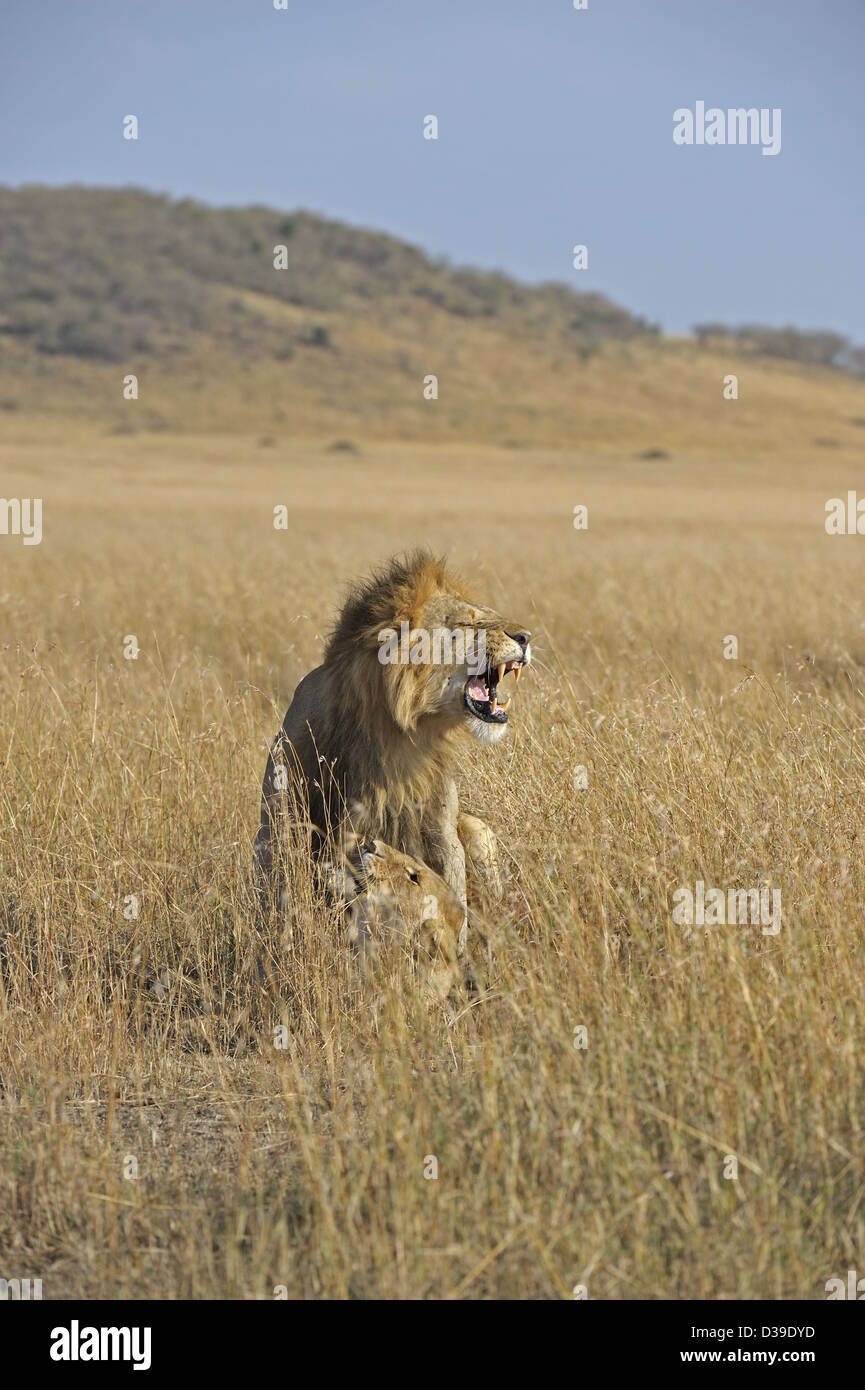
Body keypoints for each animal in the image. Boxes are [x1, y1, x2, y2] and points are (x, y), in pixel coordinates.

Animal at [254, 550, 532, 946]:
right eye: (468, 622)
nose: (526, 637)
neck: (396, 732)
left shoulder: (441, 828)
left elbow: (452, 894)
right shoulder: (291, 822)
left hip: (477, 830)